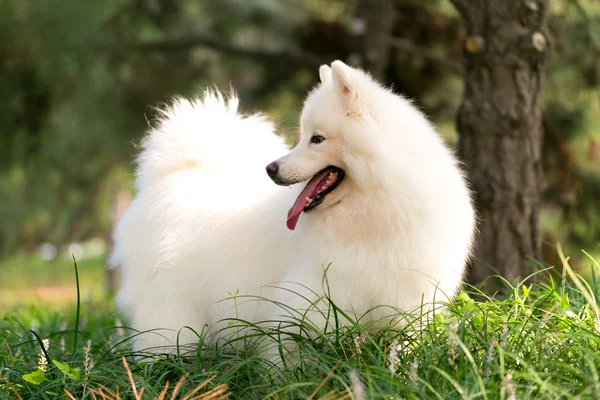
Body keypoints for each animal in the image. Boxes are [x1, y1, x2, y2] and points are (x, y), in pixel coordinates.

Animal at [110, 59, 476, 354]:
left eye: (317, 139)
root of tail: (175, 175)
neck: (374, 212)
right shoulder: (309, 301)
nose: (271, 168)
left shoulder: (406, 306)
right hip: (171, 311)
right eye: (302, 136)